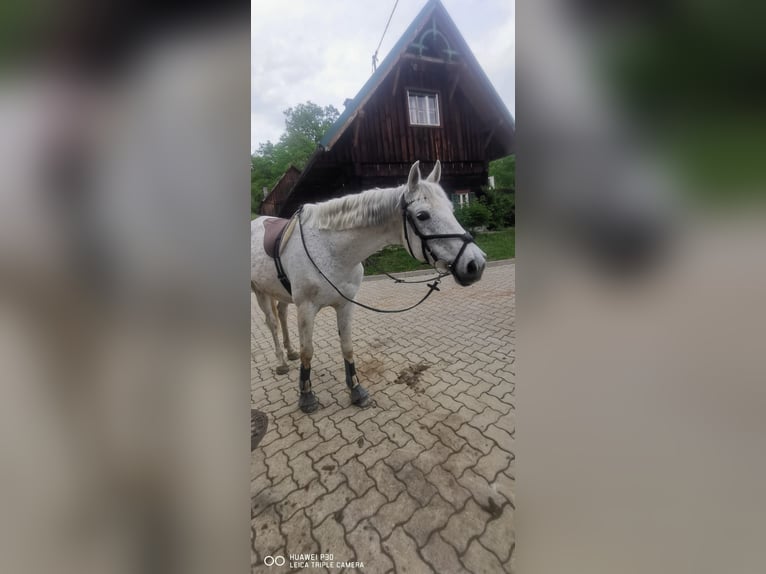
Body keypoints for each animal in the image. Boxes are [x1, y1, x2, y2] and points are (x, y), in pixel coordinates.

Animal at [255, 161, 488, 414]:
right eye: (422, 215)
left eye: (452, 209)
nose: (476, 264)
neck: (329, 249)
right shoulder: (306, 308)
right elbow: (308, 351)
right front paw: (306, 397)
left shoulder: (345, 304)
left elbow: (347, 346)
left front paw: (356, 391)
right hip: (259, 292)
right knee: (272, 323)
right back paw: (281, 362)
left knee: (281, 314)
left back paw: (290, 352)